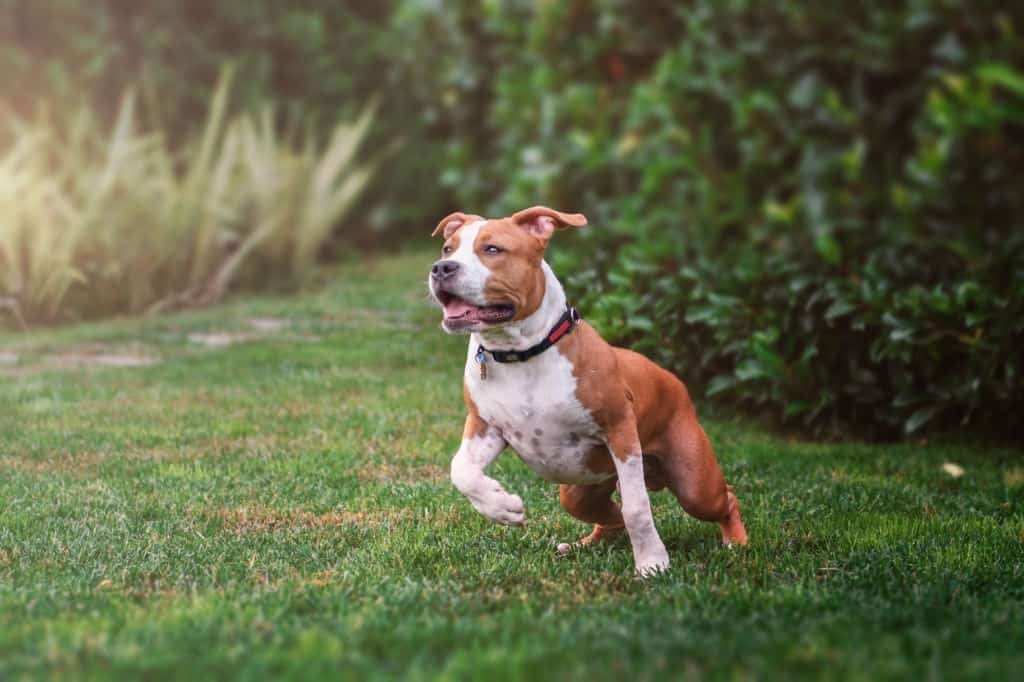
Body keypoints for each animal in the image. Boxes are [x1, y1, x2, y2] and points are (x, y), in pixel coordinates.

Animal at [428, 202, 749, 573]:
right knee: (610, 517)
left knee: (723, 498)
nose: (441, 268)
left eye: (493, 249)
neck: (521, 353)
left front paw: (652, 563)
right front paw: (502, 508)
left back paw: (736, 542)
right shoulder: (485, 426)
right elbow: (461, 470)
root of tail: (672, 378)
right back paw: (583, 545)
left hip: (694, 483)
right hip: (579, 492)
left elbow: (637, 507)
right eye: (447, 249)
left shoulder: (619, 429)